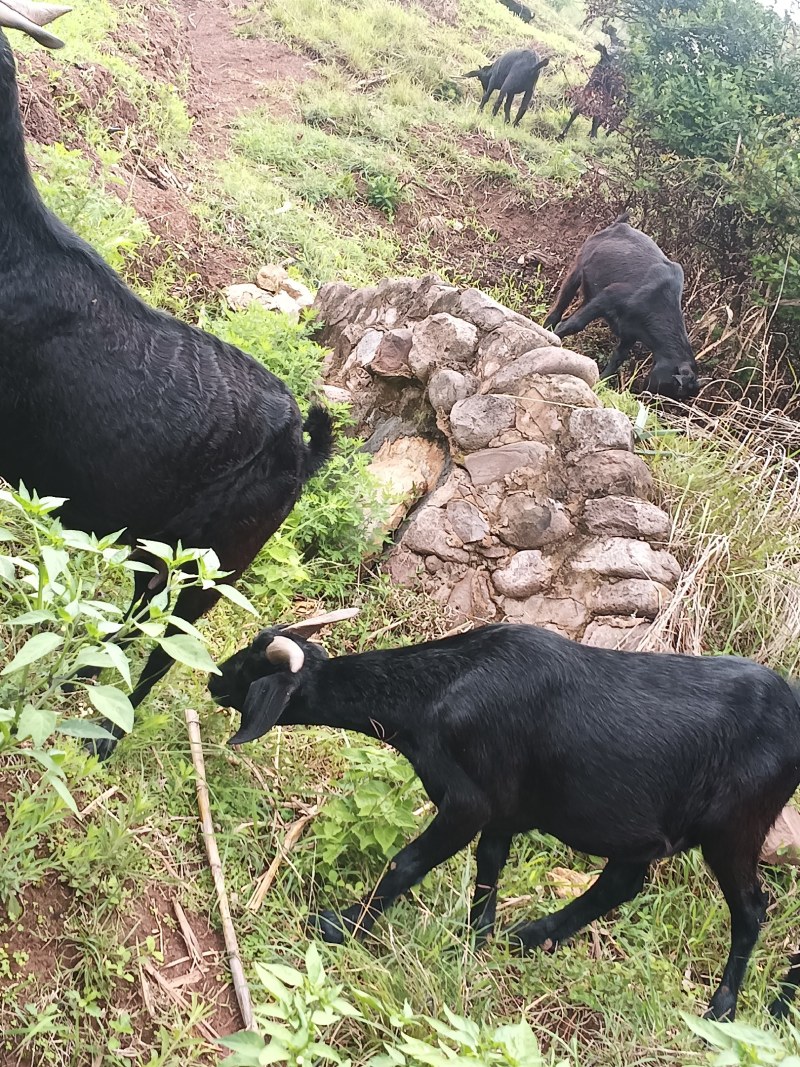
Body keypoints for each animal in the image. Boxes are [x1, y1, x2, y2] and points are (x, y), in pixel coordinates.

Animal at [210, 614, 800, 1020]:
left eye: (251, 666)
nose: (214, 679)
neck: (440, 689)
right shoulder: (502, 811)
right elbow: (490, 867)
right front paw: (476, 938)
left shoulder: (467, 803)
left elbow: (406, 863)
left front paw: (339, 926)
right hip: (646, 831)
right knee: (621, 883)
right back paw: (529, 936)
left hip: (734, 828)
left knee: (750, 910)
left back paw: (729, 1007)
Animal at [546, 212, 699, 401]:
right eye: (676, 387)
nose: (647, 400)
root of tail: (620, 225)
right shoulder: (607, 298)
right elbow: (574, 324)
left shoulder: (630, 334)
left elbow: (617, 358)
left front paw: (600, 384)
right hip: (577, 270)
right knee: (559, 309)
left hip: (589, 293)